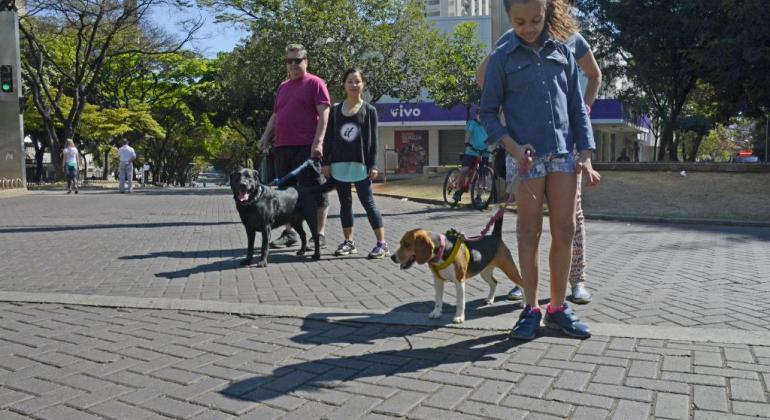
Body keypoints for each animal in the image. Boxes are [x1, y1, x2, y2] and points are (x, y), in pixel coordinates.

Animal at [390, 225, 520, 324]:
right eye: (401, 243)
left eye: (407, 244)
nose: (392, 257)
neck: (443, 250)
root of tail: (495, 236)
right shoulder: (438, 281)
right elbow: (438, 300)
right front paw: (436, 313)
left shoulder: (459, 281)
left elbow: (460, 302)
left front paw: (459, 317)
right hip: (485, 272)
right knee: (494, 282)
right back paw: (489, 299)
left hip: (510, 270)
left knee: (521, 283)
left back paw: (522, 304)